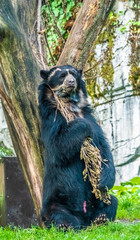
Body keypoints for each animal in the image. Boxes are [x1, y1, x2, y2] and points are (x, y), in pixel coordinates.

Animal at [37, 65, 117, 229]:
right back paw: (66, 225)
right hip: (56, 202)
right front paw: (81, 125)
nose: (71, 82)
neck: (70, 105)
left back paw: (100, 219)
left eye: (73, 74)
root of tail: (85, 220)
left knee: (112, 202)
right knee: (60, 215)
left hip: (99, 200)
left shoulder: (91, 119)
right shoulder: (52, 118)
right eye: (62, 76)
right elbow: (58, 145)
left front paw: (102, 179)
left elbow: (103, 149)